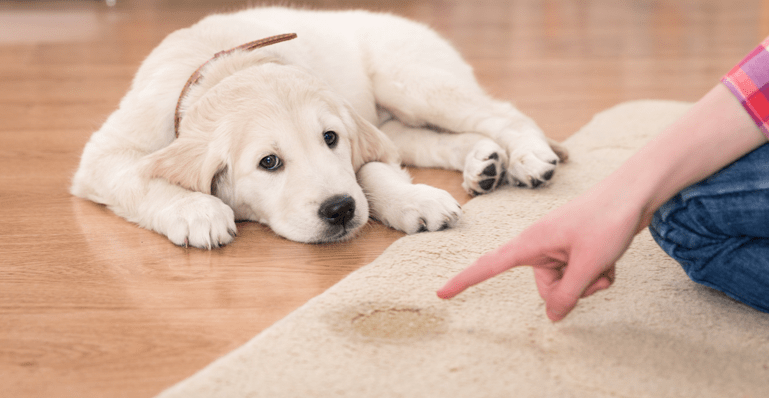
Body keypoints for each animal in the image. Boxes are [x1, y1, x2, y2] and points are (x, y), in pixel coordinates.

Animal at [70, 7, 564, 249]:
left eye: (330, 139)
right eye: (269, 162)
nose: (340, 210)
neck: (227, 65)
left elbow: (370, 171)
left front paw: (413, 199)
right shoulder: (105, 154)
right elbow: (140, 177)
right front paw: (196, 211)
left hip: (412, 81)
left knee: (503, 113)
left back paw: (527, 158)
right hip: (397, 115)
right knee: (430, 140)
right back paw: (484, 162)